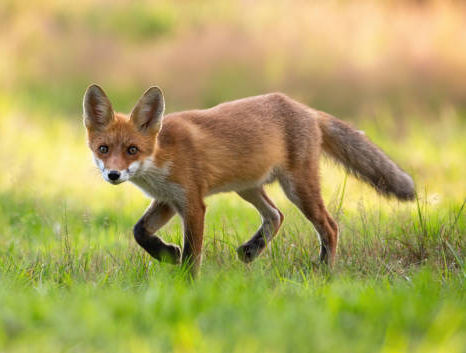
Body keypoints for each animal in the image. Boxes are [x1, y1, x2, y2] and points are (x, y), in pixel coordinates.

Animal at [83, 83, 416, 276]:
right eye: (104, 149)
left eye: (132, 150)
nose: (113, 174)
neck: (160, 157)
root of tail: (306, 109)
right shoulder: (168, 199)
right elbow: (140, 231)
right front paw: (167, 254)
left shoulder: (192, 202)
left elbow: (192, 254)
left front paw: (187, 284)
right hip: (248, 188)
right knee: (276, 215)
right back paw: (251, 250)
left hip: (297, 188)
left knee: (329, 226)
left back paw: (324, 271)